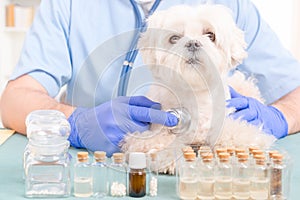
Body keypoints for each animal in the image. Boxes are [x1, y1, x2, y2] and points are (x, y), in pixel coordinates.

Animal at [120, 4, 276, 173]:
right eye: (174, 38)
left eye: (210, 35)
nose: (193, 43)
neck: (193, 92)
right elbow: (156, 142)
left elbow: (236, 135)